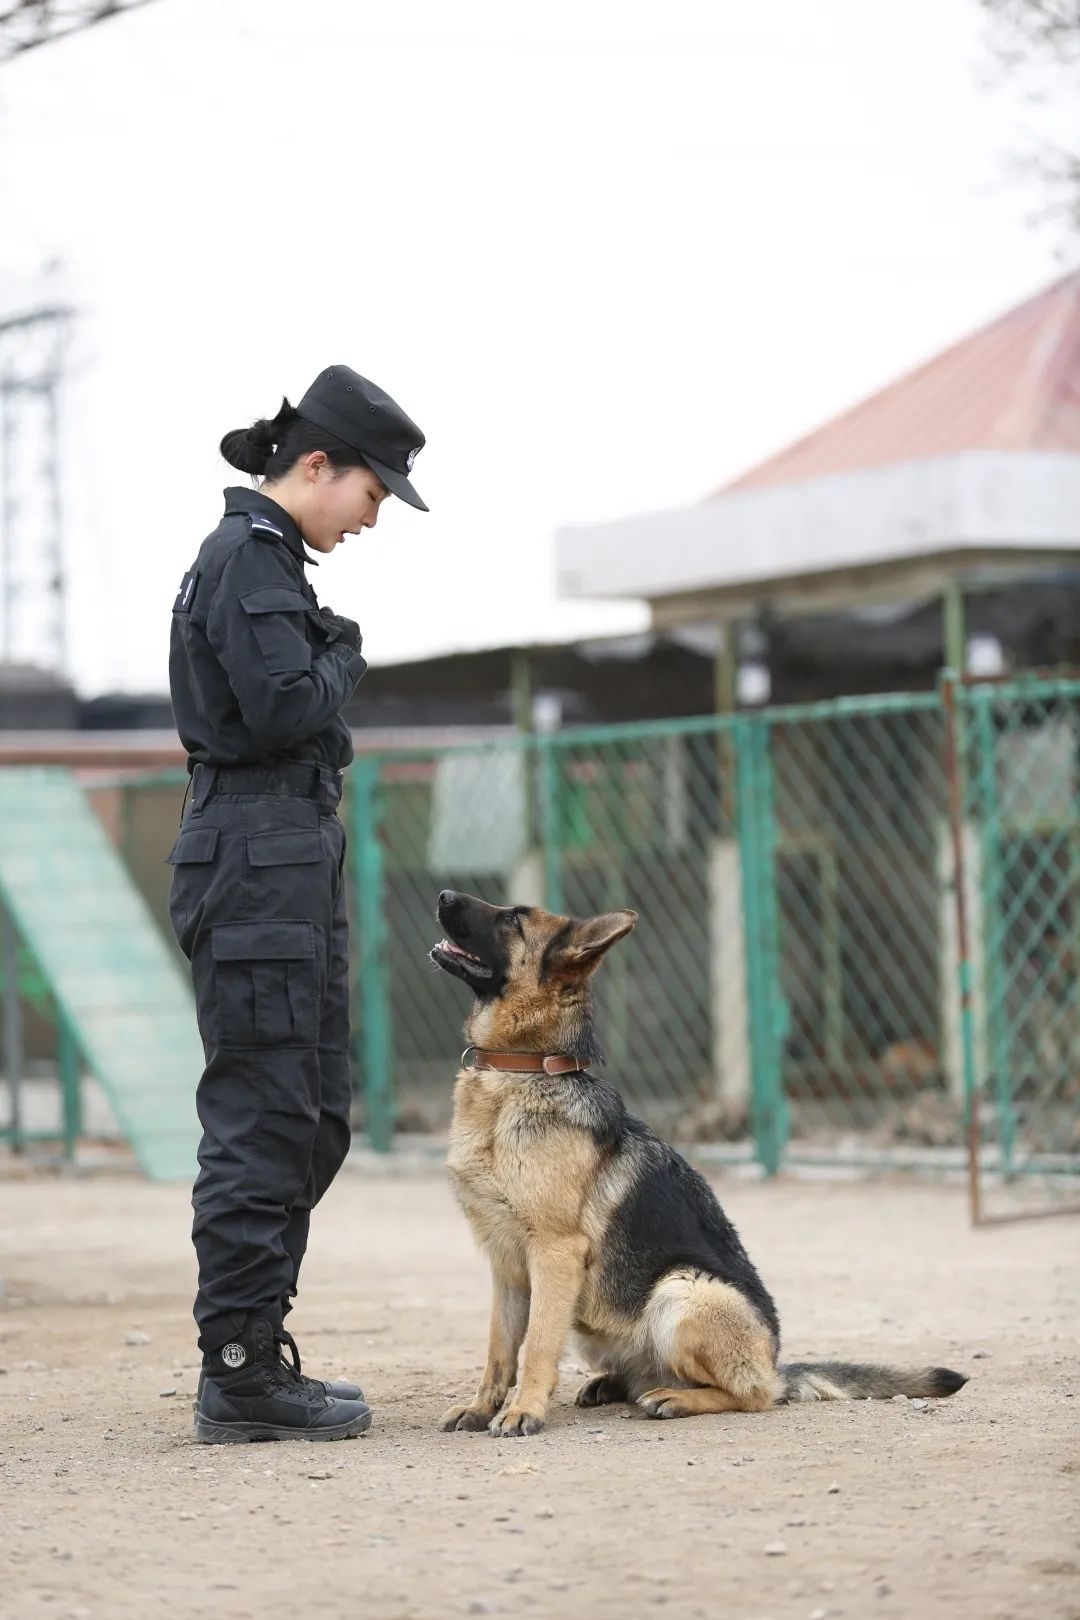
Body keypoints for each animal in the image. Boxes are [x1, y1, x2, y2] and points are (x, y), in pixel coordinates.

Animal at [427, 894, 965, 1438]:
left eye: (513, 918)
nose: (445, 897)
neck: (520, 1072)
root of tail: (774, 1363)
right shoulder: (507, 1266)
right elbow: (499, 1349)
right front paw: (482, 1407)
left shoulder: (555, 1253)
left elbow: (536, 1346)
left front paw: (524, 1411)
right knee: (653, 1376)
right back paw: (616, 1384)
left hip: (681, 1292)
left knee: (752, 1395)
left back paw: (674, 1398)